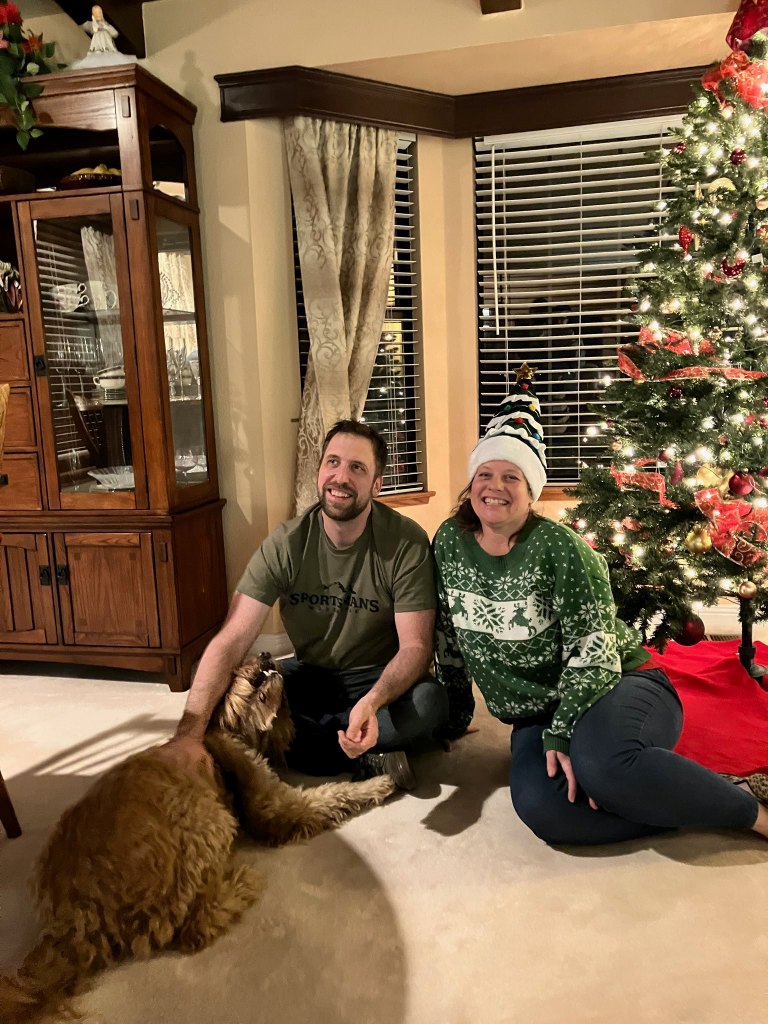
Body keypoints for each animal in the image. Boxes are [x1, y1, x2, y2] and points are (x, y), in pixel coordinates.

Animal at [0, 653, 395, 1023]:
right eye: (244, 675)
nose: (265, 655)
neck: (228, 730)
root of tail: (76, 919)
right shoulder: (277, 805)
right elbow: (332, 793)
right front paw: (379, 783)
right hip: (204, 817)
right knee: (195, 930)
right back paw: (238, 885)